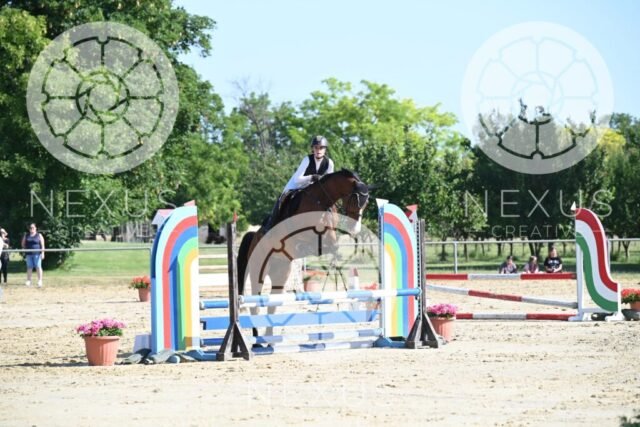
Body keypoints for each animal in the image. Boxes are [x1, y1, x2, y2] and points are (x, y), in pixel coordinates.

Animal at [236, 169, 371, 339]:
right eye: (355, 200)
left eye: (366, 203)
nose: (355, 229)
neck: (321, 202)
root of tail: (253, 236)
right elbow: (310, 244)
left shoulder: (329, 236)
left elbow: (332, 246)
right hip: (258, 270)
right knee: (255, 303)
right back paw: (256, 336)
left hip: (280, 272)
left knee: (272, 304)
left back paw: (269, 336)